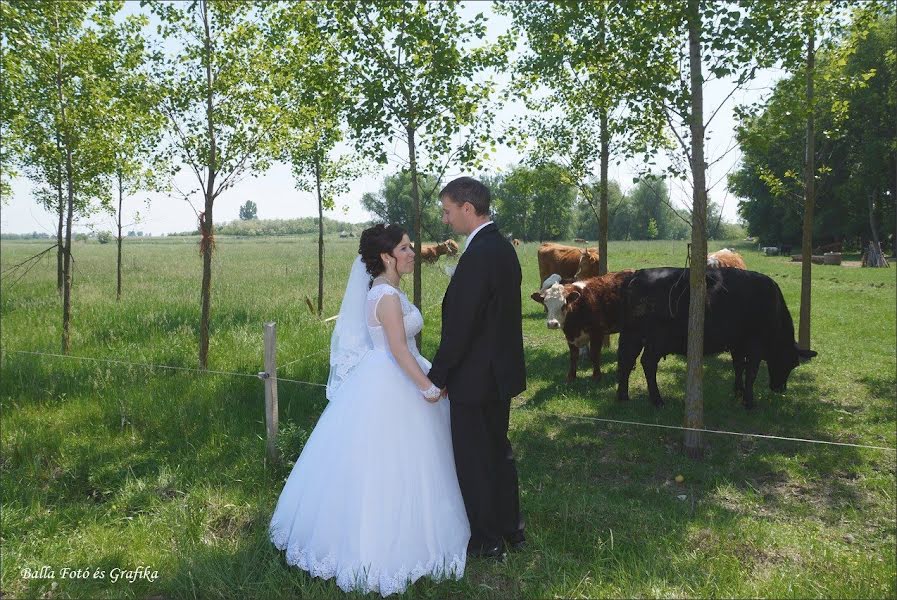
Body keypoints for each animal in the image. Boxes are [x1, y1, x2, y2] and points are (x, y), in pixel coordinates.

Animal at [616, 268, 812, 408]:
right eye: (792, 363)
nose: (780, 389)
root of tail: (638, 274)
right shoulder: (755, 344)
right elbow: (751, 372)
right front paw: (749, 402)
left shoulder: (737, 343)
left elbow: (739, 366)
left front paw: (738, 391)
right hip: (657, 339)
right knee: (648, 362)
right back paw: (657, 400)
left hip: (633, 335)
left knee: (626, 361)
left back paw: (623, 396)